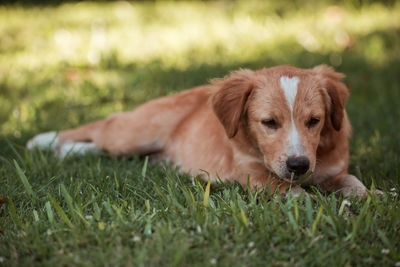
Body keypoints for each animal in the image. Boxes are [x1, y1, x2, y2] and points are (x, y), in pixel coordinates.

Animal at [27, 65, 372, 198]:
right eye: (269, 123)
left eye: (314, 121)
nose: (299, 165)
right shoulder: (252, 174)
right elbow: (294, 193)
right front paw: (322, 206)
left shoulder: (333, 171)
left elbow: (353, 182)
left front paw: (371, 198)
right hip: (133, 133)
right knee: (103, 126)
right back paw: (48, 141)